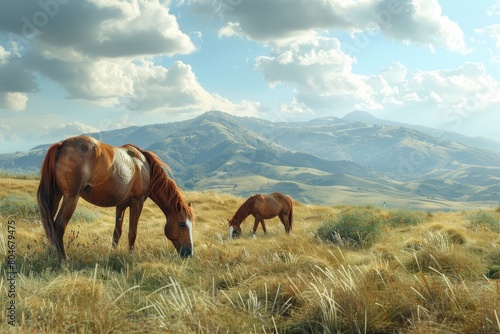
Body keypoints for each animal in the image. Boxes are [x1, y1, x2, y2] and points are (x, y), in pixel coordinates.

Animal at [36, 134, 193, 260]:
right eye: (182, 224)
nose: (189, 252)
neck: (144, 166)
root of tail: (62, 145)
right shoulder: (137, 203)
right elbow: (132, 232)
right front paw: (131, 257)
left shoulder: (121, 205)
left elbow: (117, 232)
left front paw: (112, 254)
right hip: (71, 198)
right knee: (58, 226)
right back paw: (63, 260)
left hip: (56, 196)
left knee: (49, 226)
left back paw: (51, 254)